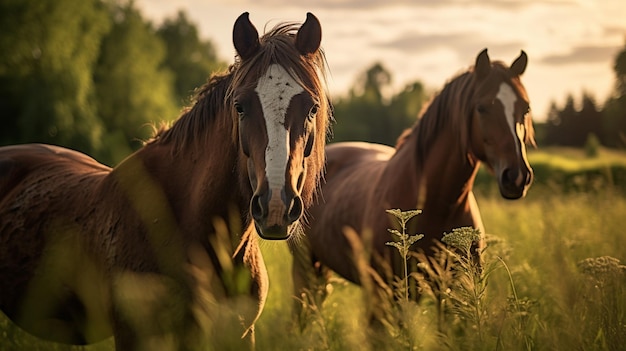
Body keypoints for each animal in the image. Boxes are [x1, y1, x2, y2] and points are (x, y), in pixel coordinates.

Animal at [292, 51, 532, 324]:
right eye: (482, 107)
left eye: (525, 108)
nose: (517, 176)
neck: (437, 203)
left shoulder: (452, 292)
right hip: (307, 270)